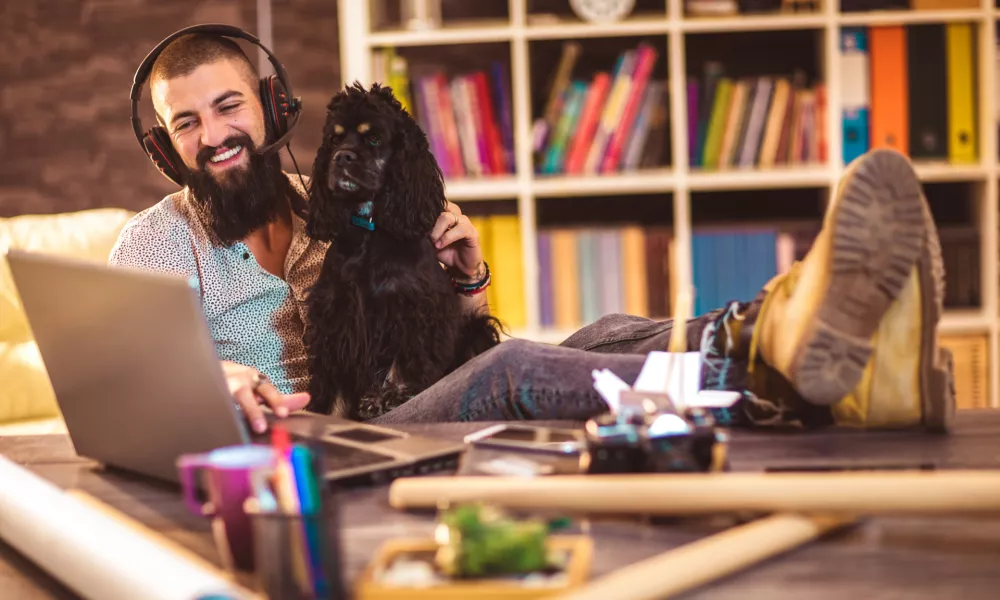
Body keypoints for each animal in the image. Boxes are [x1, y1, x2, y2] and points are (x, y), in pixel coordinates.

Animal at [302, 83, 500, 422]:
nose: (341, 157)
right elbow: (333, 381)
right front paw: (326, 412)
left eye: (373, 138)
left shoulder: (411, 308)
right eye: (335, 139)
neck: (369, 230)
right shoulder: (335, 315)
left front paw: (386, 398)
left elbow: (404, 361)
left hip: (477, 330)